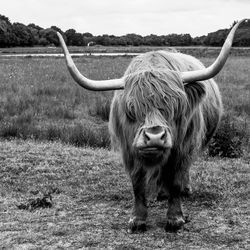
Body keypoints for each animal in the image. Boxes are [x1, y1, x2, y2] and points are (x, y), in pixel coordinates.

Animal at [57, 19, 246, 232]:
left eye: (175, 106)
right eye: (131, 109)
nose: (155, 136)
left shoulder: (182, 147)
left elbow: (176, 180)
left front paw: (175, 219)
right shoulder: (129, 150)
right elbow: (137, 184)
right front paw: (137, 219)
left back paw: (184, 190)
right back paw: (161, 193)